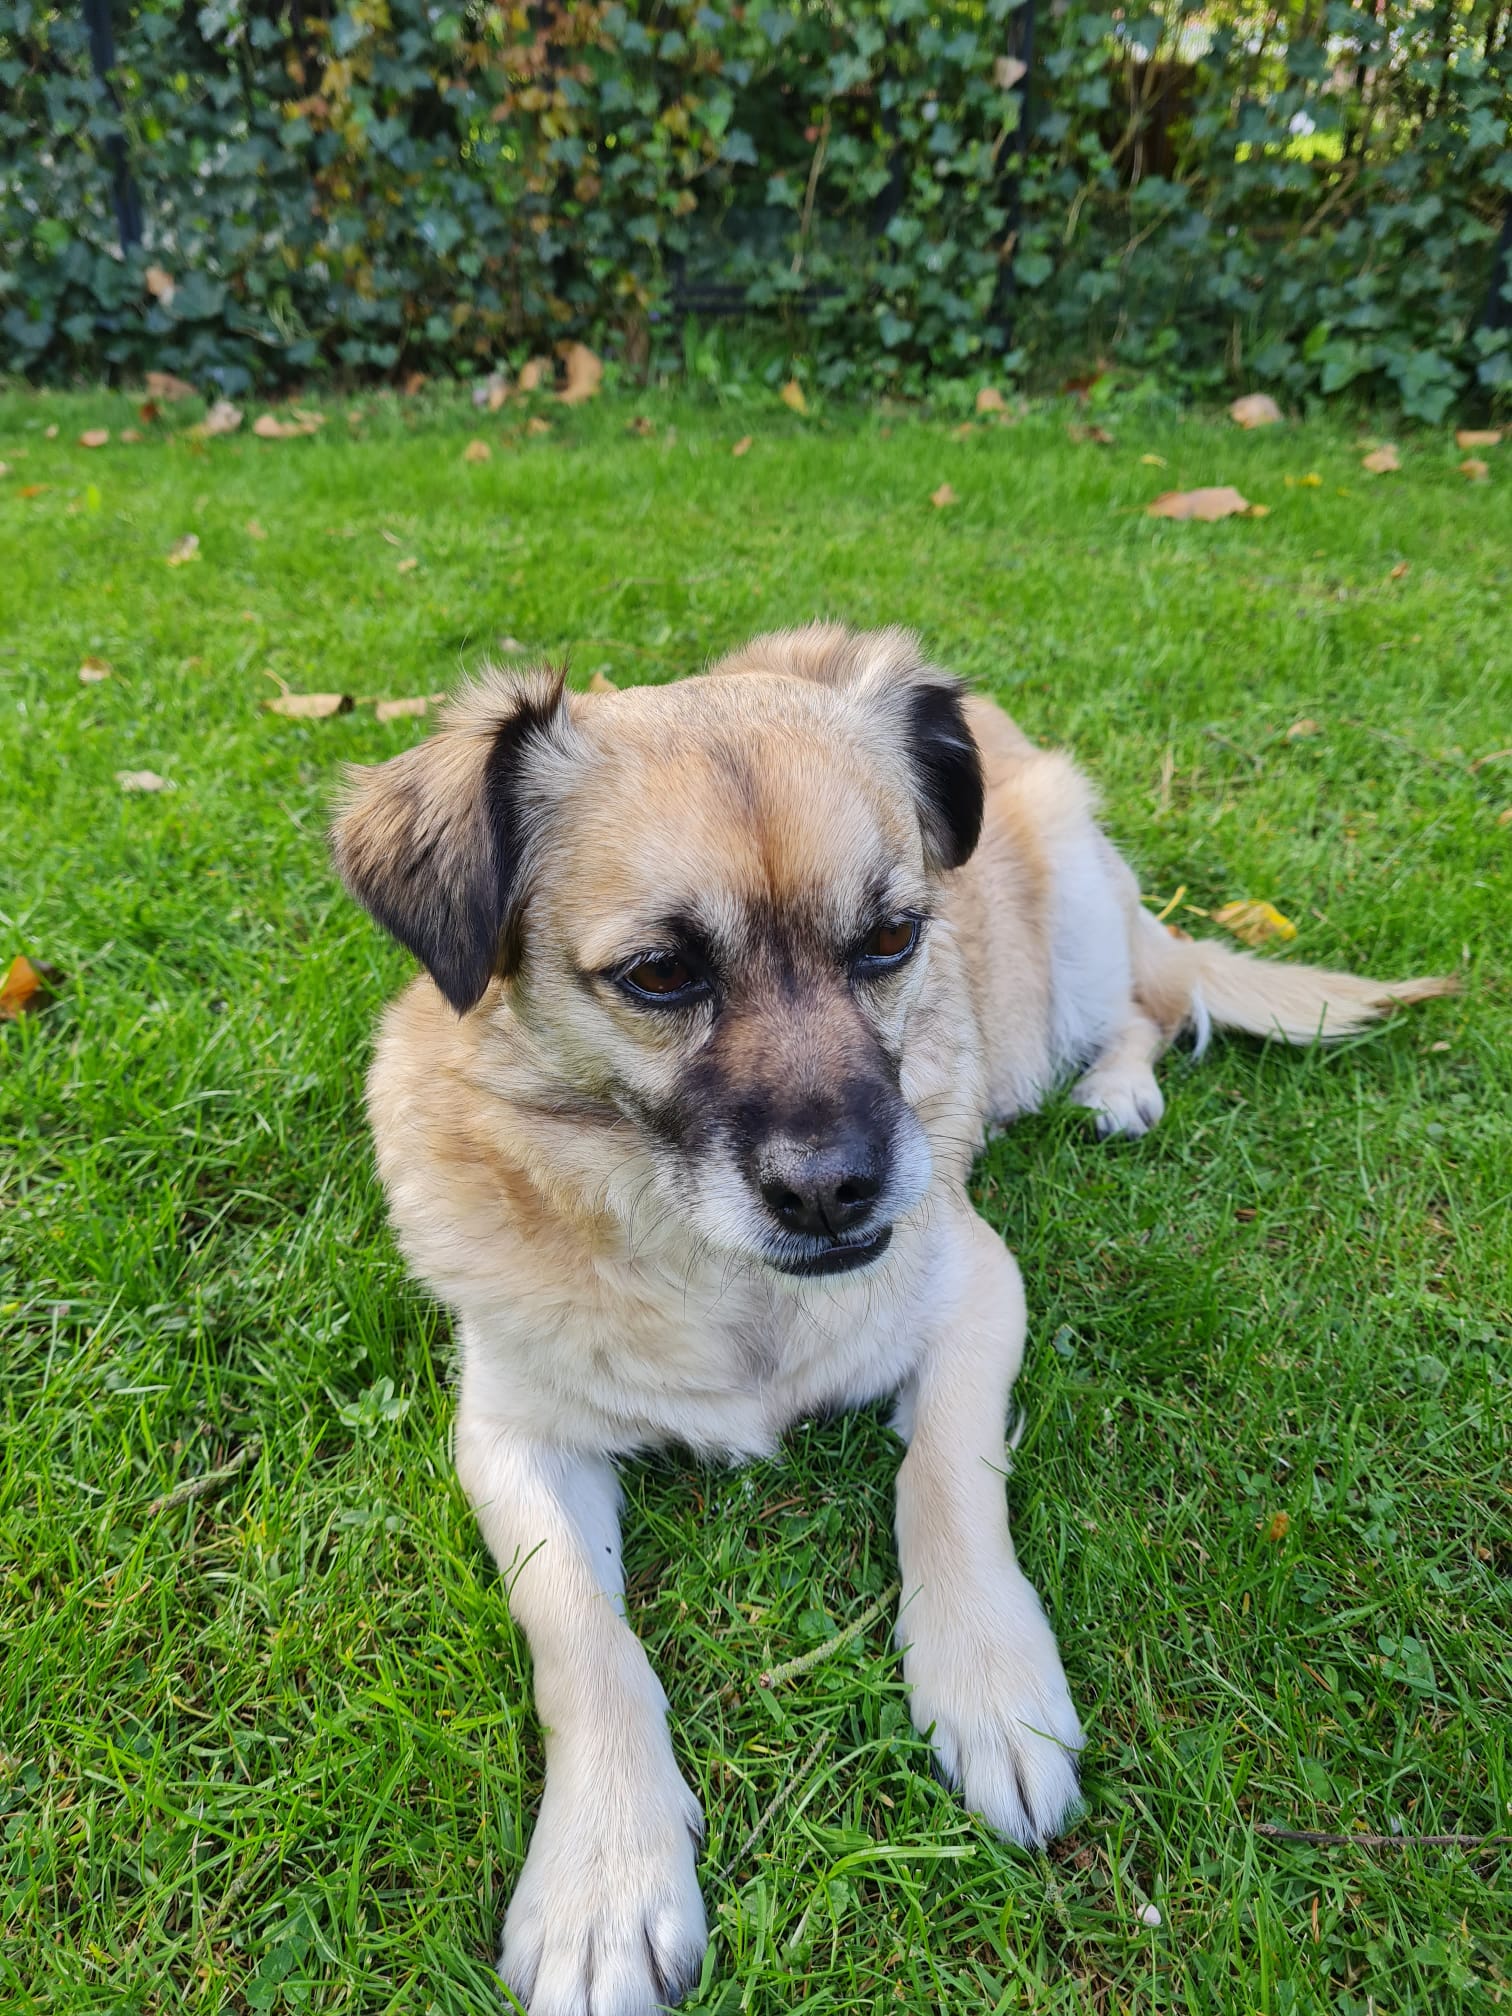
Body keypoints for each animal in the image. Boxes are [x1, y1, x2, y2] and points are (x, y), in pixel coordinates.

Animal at [331, 624, 1451, 2015]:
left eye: (892, 938)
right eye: (659, 974)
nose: (836, 1192)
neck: (721, 1276)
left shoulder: (979, 1291)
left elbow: (947, 1480)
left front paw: (990, 1685)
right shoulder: (511, 1436)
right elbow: (582, 1635)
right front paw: (606, 1870)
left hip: (1077, 933)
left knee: (1150, 1006)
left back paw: (1117, 1090)